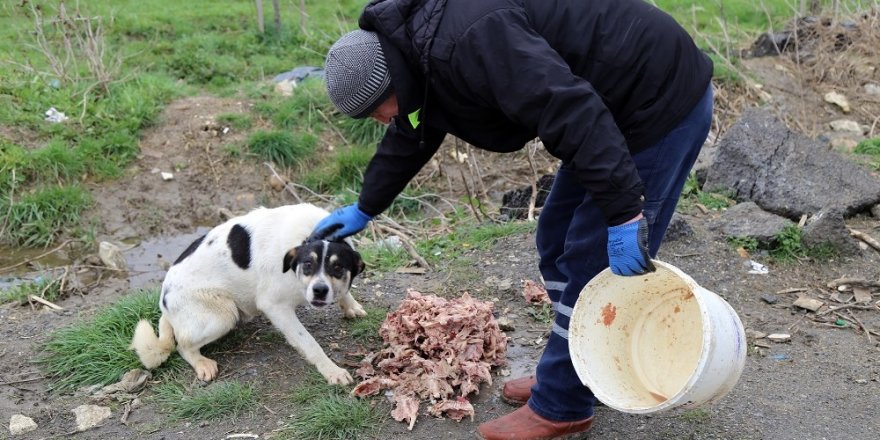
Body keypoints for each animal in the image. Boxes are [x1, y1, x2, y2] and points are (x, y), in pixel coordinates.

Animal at [130, 205, 364, 384]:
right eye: (308, 264)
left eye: (338, 268)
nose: (320, 290)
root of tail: (165, 303)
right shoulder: (275, 306)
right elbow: (309, 343)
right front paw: (332, 370)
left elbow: (344, 292)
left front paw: (350, 305)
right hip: (223, 315)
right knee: (182, 345)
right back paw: (201, 362)